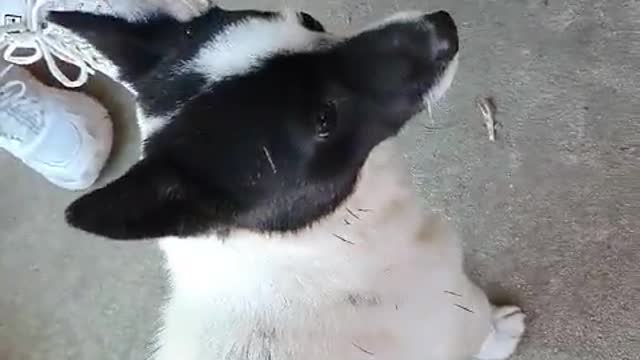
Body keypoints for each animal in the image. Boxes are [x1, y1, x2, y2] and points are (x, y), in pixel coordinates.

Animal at [51, 5, 524, 360]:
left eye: (309, 20)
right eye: (324, 119)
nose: (442, 24)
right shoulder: (461, 315)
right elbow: (488, 335)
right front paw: (503, 330)